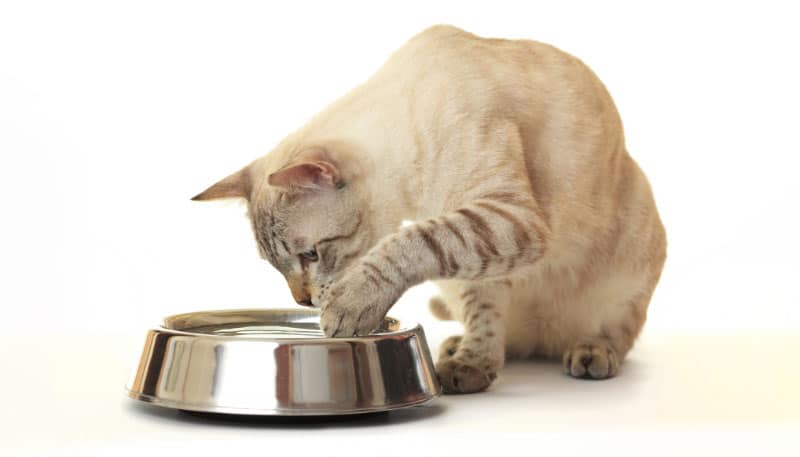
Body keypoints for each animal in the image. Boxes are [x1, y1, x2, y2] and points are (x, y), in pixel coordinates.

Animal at [194, 25, 668, 394]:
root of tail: (542, 340)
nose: (303, 300)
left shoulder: (505, 217)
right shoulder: (481, 248)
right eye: (278, 267)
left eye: (310, 254)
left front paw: (349, 304)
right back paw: (463, 355)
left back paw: (591, 353)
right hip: (456, 283)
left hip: (629, 273)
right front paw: (473, 363)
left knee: (617, 333)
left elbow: (407, 244)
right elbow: (482, 307)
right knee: (499, 332)